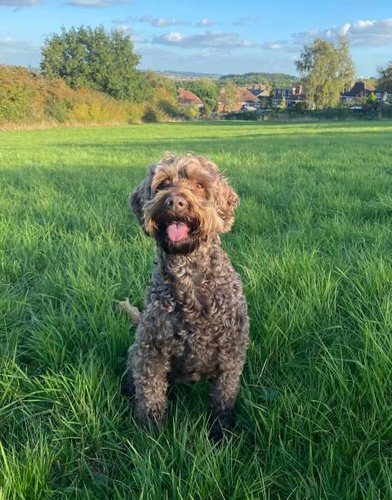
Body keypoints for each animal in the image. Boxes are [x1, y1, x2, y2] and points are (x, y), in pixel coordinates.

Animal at [120, 153, 248, 442]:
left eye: (199, 185)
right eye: (163, 184)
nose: (175, 201)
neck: (188, 275)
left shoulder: (231, 355)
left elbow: (222, 399)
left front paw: (220, 433)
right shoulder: (150, 352)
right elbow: (151, 398)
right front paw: (152, 438)